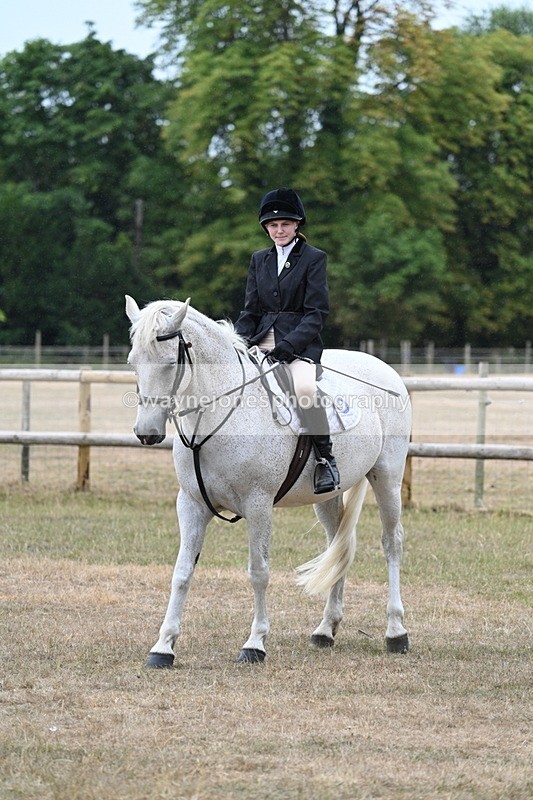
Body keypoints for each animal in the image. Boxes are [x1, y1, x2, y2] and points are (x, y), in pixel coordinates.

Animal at [125, 295, 412, 667]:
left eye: (170, 362)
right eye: (133, 361)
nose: (146, 433)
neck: (218, 416)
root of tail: (383, 367)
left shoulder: (258, 504)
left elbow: (258, 572)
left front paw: (255, 644)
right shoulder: (190, 503)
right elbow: (182, 573)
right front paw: (163, 647)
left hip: (387, 477)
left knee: (392, 543)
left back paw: (396, 633)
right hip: (327, 497)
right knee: (339, 545)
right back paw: (325, 630)